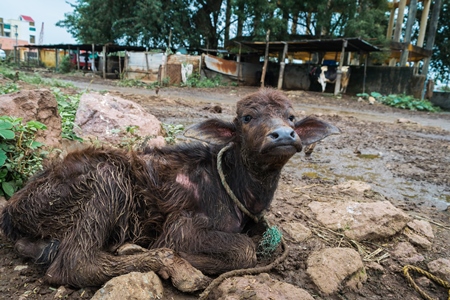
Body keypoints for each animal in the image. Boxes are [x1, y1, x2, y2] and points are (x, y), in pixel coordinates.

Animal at [0, 88, 338, 292]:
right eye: (247, 117)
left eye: (291, 117)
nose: (284, 134)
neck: (235, 186)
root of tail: (13, 209)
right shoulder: (181, 227)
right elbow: (244, 250)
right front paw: (188, 259)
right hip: (107, 178)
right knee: (75, 264)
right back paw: (163, 261)